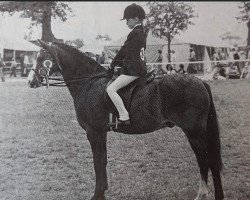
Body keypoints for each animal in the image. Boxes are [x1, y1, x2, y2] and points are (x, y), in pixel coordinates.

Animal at [28, 40, 224, 200]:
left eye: (42, 58)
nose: (31, 81)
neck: (89, 83)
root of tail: (200, 82)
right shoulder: (100, 133)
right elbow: (102, 160)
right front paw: (102, 191)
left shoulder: (94, 132)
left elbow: (98, 162)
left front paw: (97, 194)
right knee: (204, 161)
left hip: (195, 131)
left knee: (208, 161)